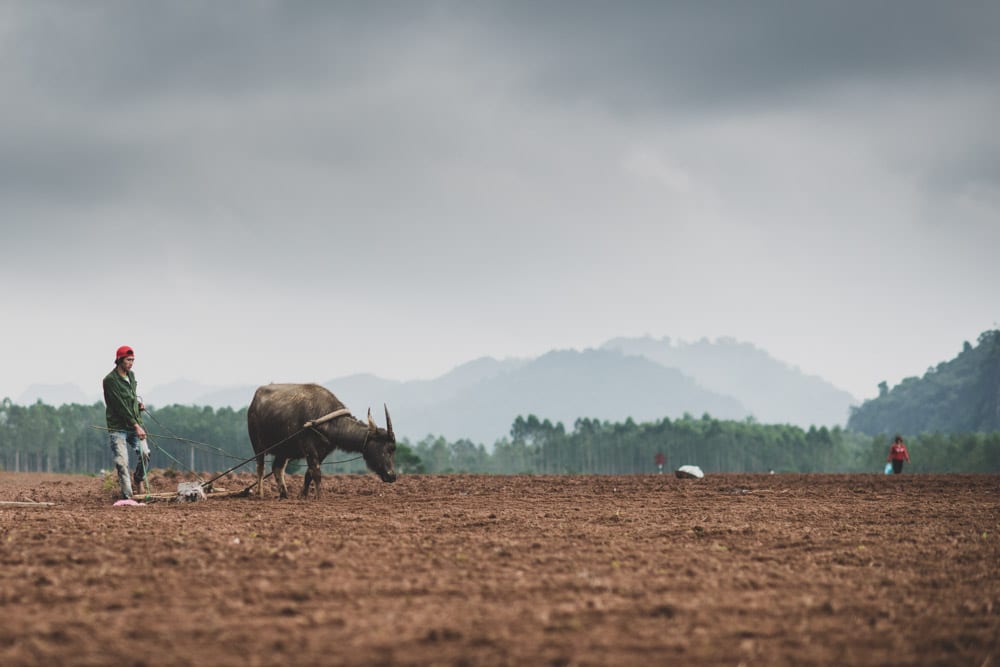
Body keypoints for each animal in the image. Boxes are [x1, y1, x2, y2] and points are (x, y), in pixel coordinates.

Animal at [248, 384, 396, 498]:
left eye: (393, 449)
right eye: (388, 448)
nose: (392, 476)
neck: (325, 419)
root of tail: (254, 401)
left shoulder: (323, 452)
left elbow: (309, 474)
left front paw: (303, 496)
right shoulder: (309, 449)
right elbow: (317, 474)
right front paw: (319, 497)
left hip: (284, 450)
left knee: (277, 468)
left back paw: (284, 494)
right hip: (257, 444)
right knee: (260, 468)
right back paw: (260, 494)